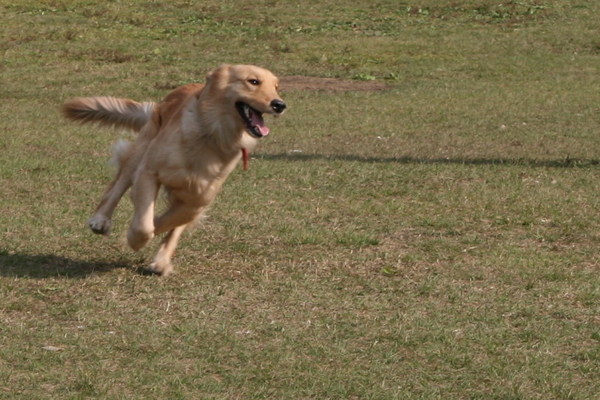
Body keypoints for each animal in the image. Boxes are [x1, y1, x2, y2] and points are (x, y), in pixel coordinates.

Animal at [62, 65, 288, 276]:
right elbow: (144, 225)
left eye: (277, 87)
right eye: (253, 81)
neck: (213, 134)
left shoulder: (197, 202)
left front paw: (150, 239)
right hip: (141, 150)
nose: (280, 104)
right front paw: (134, 238)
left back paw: (161, 262)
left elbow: (164, 223)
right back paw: (100, 220)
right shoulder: (148, 172)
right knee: (118, 184)